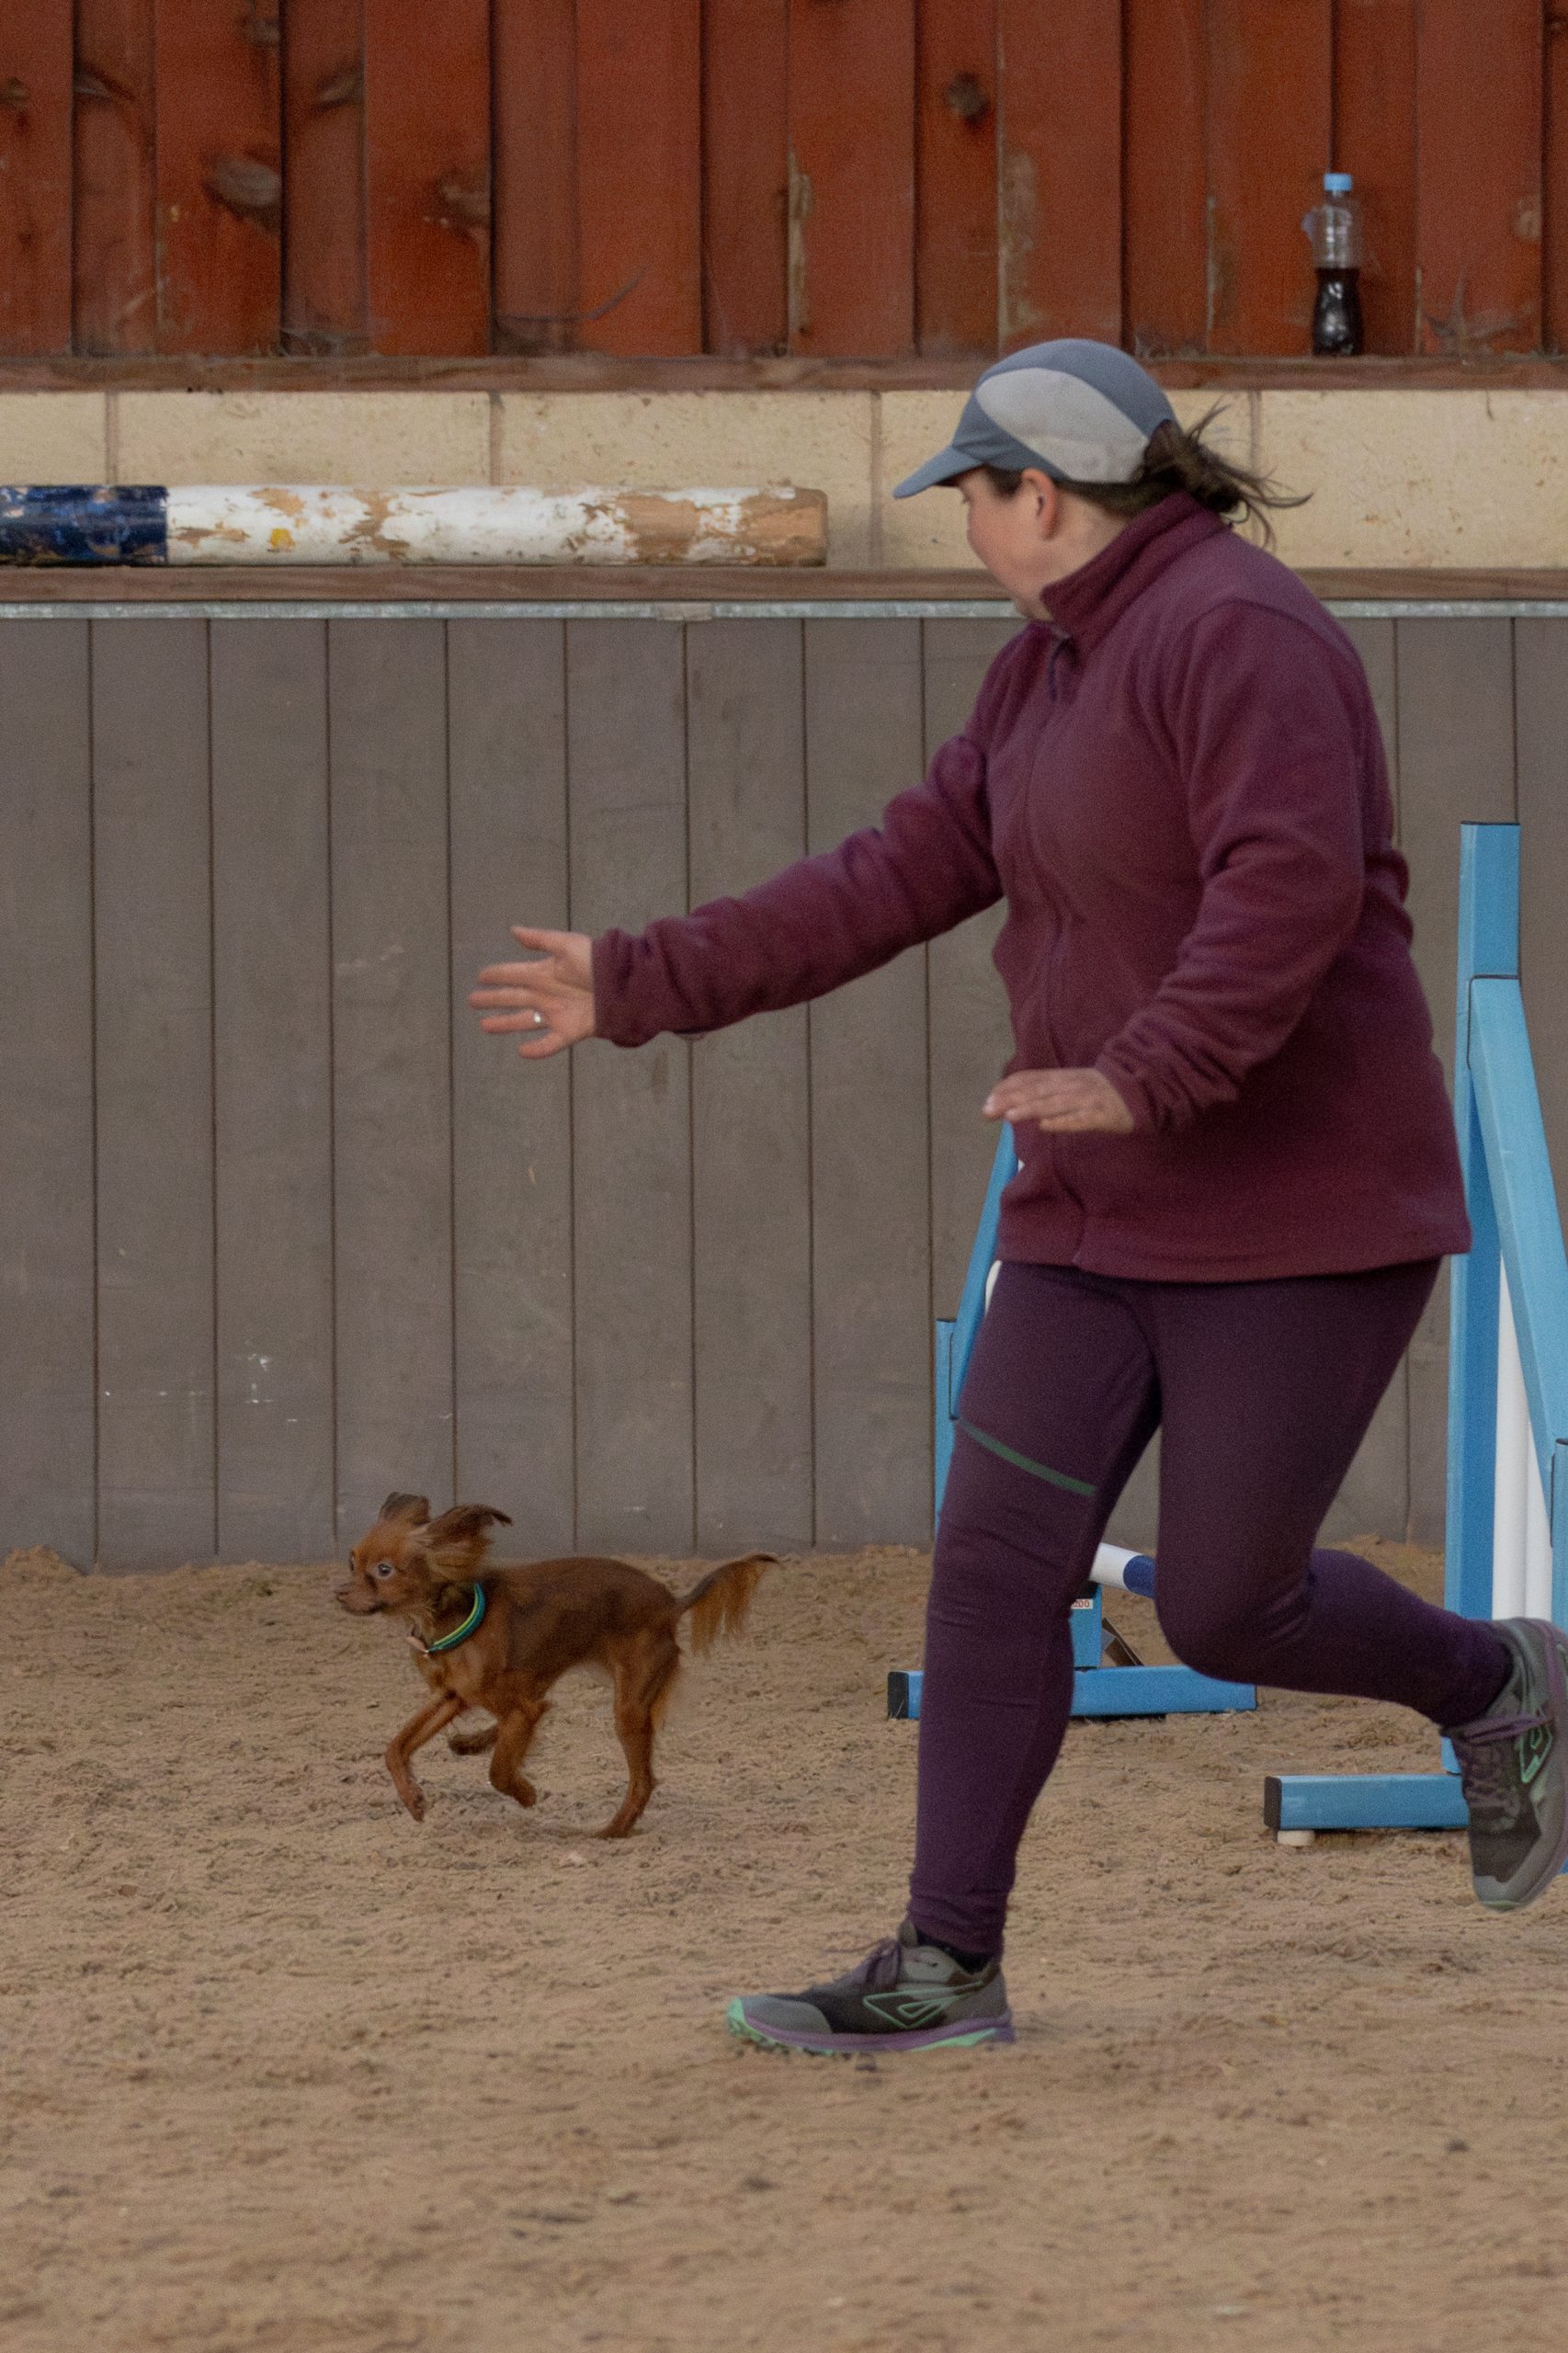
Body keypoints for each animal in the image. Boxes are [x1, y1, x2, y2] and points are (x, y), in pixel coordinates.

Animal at [335, 1492, 774, 1838]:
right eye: (352, 1563)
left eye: (384, 1571)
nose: (338, 1593)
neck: (444, 1617)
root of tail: (670, 1604)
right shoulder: (451, 1697)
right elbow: (395, 1747)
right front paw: (413, 1798)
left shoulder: (520, 1709)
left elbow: (499, 1771)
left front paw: (525, 1793)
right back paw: (472, 1741)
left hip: (628, 1708)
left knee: (643, 1781)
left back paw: (611, 1832)